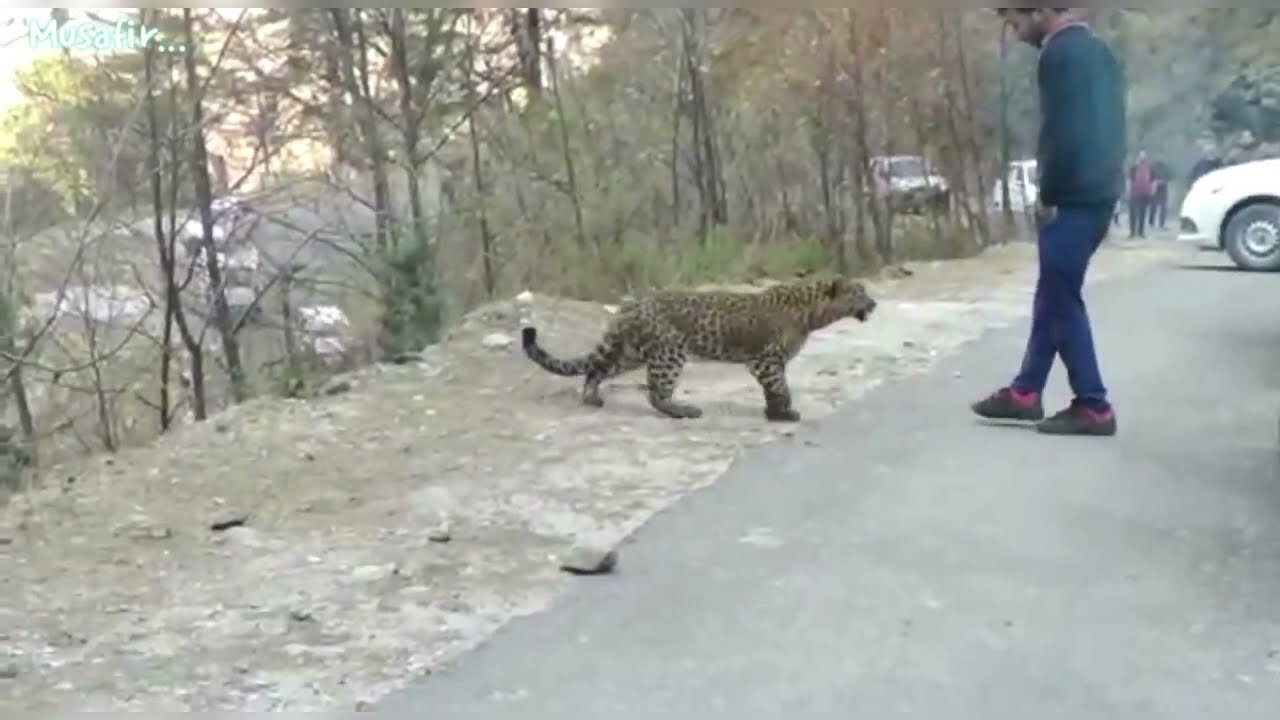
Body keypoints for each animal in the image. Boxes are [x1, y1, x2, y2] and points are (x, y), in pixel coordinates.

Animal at [522, 272, 880, 420]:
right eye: (859, 292)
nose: (874, 304)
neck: (812, 313)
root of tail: (629, 306)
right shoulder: (766, 360)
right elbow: (781, 387)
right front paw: (783, 413)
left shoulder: (769, 363)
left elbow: (774, 389)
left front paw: (772, 412)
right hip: (669, 354)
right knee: (655, 393)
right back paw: (684, 411)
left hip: (631, 352)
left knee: (595, 369)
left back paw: (592, 398)